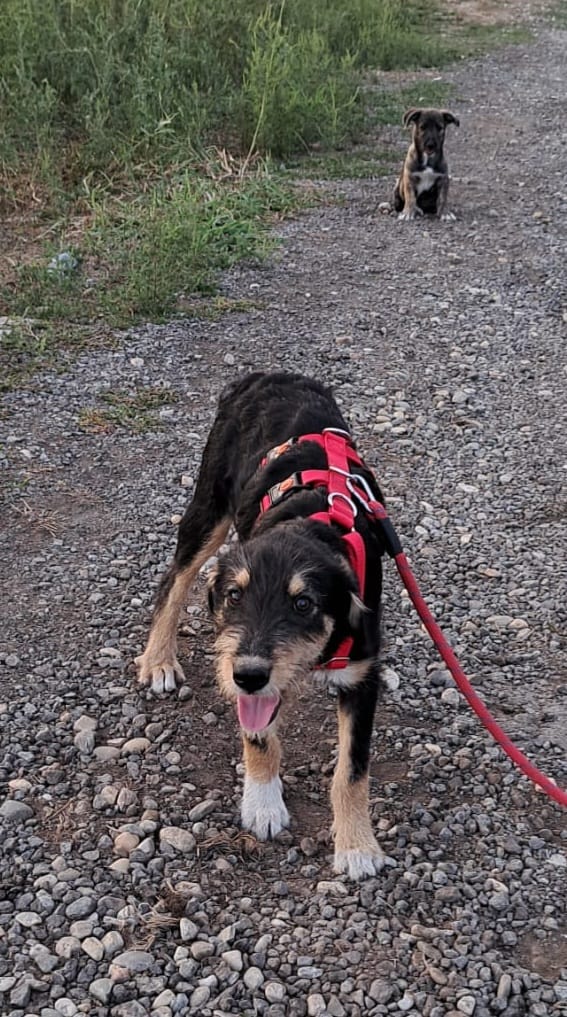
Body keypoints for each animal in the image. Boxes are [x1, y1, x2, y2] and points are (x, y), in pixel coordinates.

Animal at [136, 372, 389, 880]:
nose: (248, 675)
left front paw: (356, 845)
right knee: (174, 580)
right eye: (235, 596)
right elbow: (258, 737)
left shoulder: (362, 675)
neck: (308, 522)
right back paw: (159, 660)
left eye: (304, 603)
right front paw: (263, 805)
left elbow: (352, 770)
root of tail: (269, 375)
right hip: (209, 505)